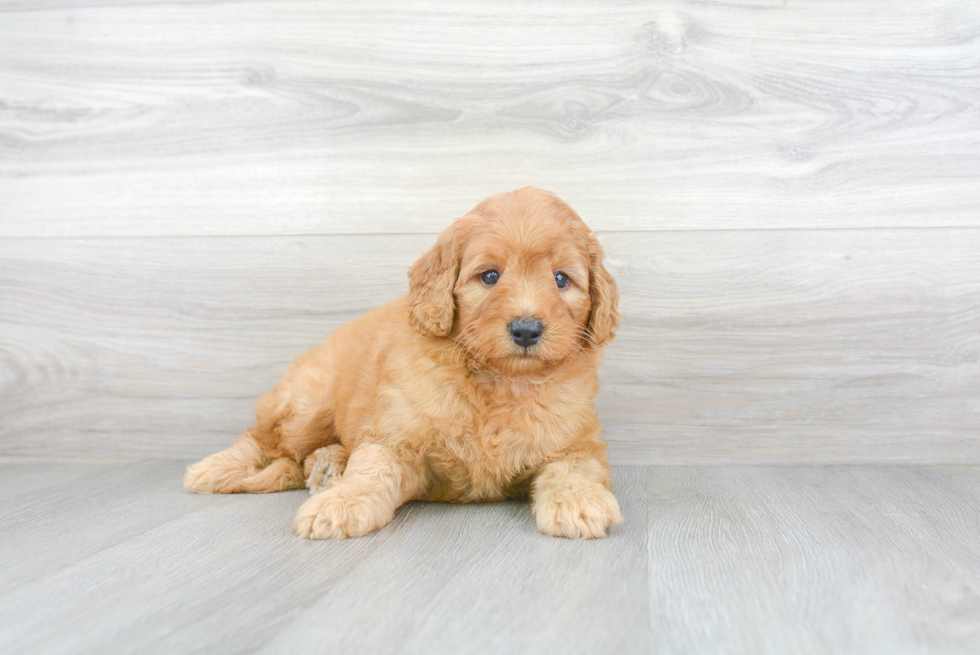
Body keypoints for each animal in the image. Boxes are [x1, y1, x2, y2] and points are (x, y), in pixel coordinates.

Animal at [184, 187, 620, 540]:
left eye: (561, 279)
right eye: (489, 276)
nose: (526, 329)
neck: (499, 381)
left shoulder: (576, 442)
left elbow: (575, 469)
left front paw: (580, 502)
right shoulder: (396, 436)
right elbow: (371, 470)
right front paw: (341, 504)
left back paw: (326, 466)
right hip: (306, 405)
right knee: (264, 441)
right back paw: (214, 469)